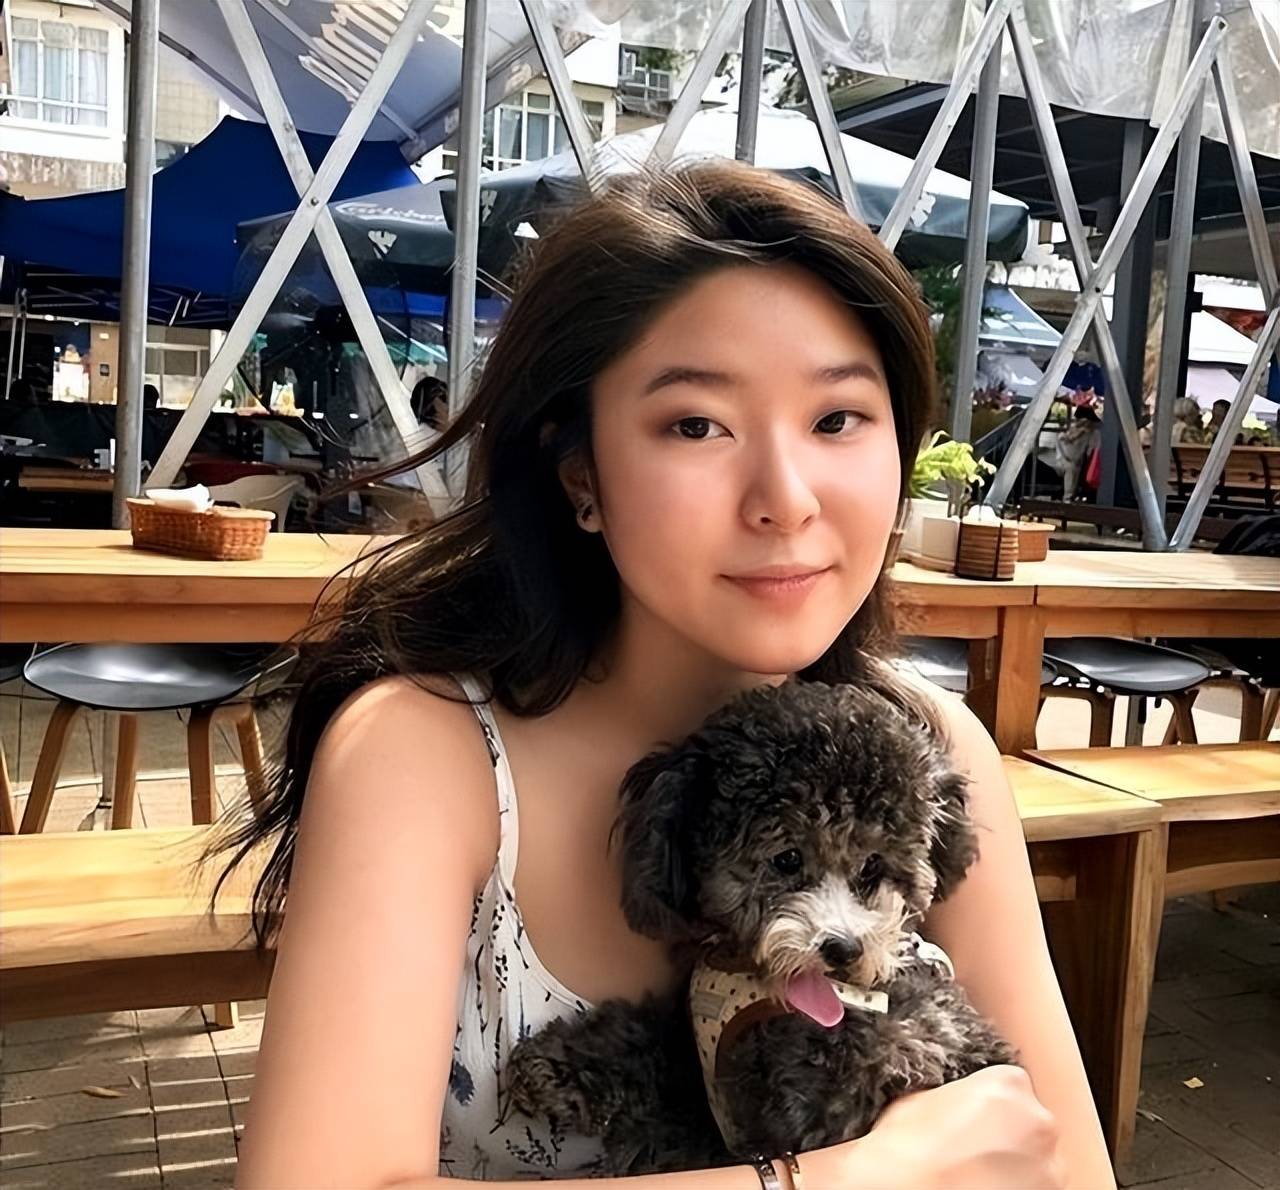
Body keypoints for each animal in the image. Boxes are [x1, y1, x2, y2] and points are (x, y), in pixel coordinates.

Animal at [506, 679, 1015, 1174]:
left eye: (873, 866)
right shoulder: (694, 1058)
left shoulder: (838, 1096)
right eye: (787, 858)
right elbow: (645, 1041)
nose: (844, 949)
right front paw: (554, 1063)